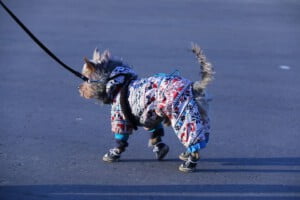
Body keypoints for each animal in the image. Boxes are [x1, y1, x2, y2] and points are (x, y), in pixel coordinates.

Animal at [78, 43, 214, 172]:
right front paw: (159, 147)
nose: (79, 88)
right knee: (201, 137)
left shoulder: (120, 116)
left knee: (193, 141)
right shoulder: (149, 114)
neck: (116, 82)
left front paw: (114, 153)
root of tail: (194, 86)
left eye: (84, 79)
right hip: (200, 117)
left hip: (184, 115)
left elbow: (121, 136)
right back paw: (187, 153)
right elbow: (156, 132)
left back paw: (190, 163)